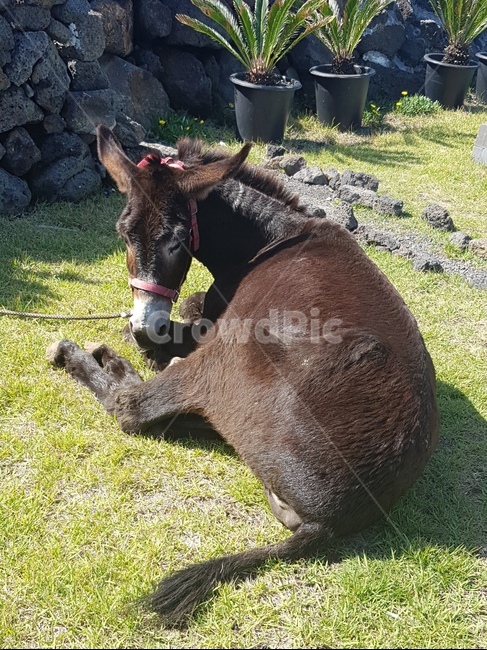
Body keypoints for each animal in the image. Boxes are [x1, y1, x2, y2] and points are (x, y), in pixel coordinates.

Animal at [47, 125, 439, 626]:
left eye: (178, 241)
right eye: (123, 233)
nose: (147, 327)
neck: (269, 238)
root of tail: (335, 517)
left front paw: (139, 347)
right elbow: (190, 306)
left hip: (232, 354)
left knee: (132, 409)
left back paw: (87, 358)